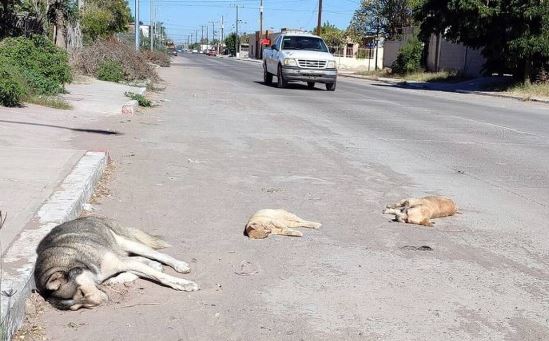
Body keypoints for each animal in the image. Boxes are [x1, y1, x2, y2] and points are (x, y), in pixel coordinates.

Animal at [34, 216, 198, 310]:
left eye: (81, 292)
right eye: (80, 306)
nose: (104, 301)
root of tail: (90, 216)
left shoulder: (117, 262)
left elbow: (160, 276)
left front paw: (184, 284)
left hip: (126, 243)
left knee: (158, 255)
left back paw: (178, 265)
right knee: (141, 261)